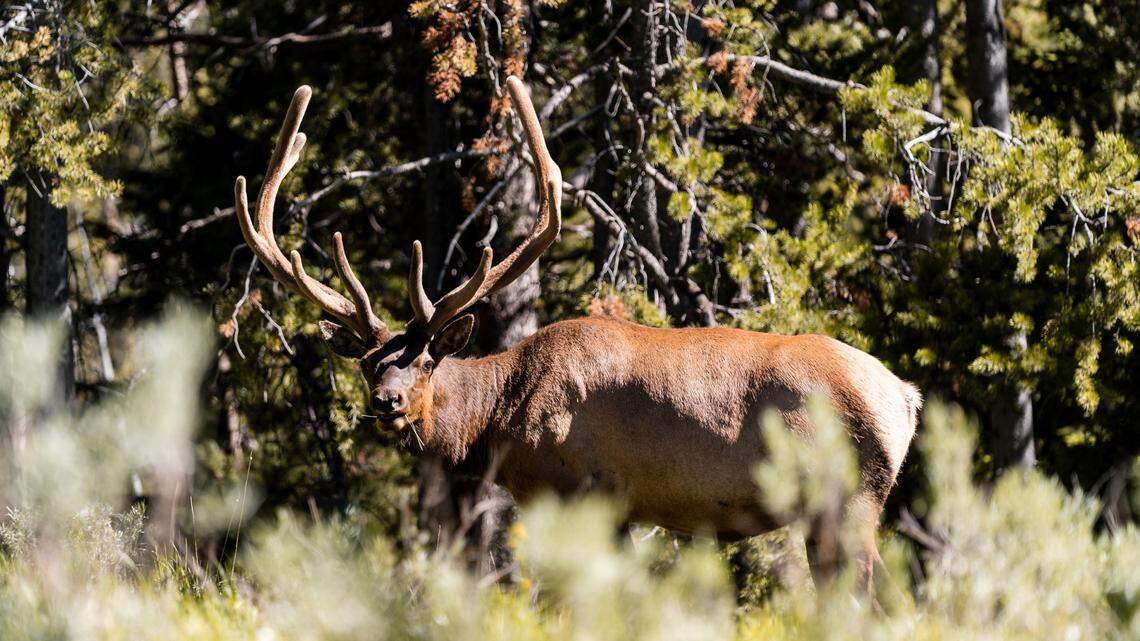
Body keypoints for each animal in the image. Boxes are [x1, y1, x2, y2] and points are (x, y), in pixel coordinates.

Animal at [234, 76, 921, 589]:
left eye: (427, 359)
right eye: (367, 363)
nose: (387, 401)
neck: (501, 417)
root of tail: (906, 398)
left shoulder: (583, 489)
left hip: (848, 495)